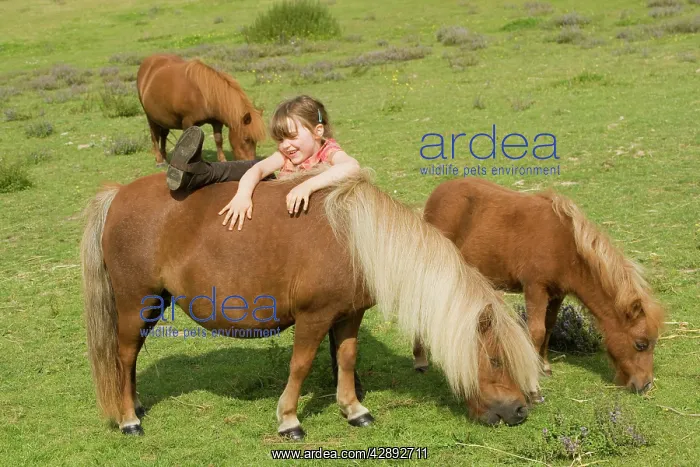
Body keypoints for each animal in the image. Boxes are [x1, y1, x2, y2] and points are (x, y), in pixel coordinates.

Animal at [80, 169, 542, 439]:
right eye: (495, 360)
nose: (520, 410)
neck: (355, 238)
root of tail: (117, 194)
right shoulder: (313, 317)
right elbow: (300, 366)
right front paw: (289, 420)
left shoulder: (349, 315)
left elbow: (348, 359)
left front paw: (354, 409)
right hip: (135, 301)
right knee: (123, 354)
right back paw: (129, 419)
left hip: (153, 302)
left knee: (129, 357)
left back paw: (134, 404)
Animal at [136, 54, 266, 166]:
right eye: (246, 139)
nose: (250, 163)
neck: (204, 95)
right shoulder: (188, 122)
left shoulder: (216, 122)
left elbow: (218, 140)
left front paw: (222, 160)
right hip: (150, 117)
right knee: (154, 136)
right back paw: (159, 160)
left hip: (163, 118)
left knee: (163, 135)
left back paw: (164, 157)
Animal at [413, 178, 665, 394]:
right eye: (641, 344)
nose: (645, 385)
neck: (563, 244)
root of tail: (438, 192)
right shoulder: (535, 288)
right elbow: (536, 330)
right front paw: (533, 376)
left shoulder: (556, 294)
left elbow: (549, 326)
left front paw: (544, 365)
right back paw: (420, 359)